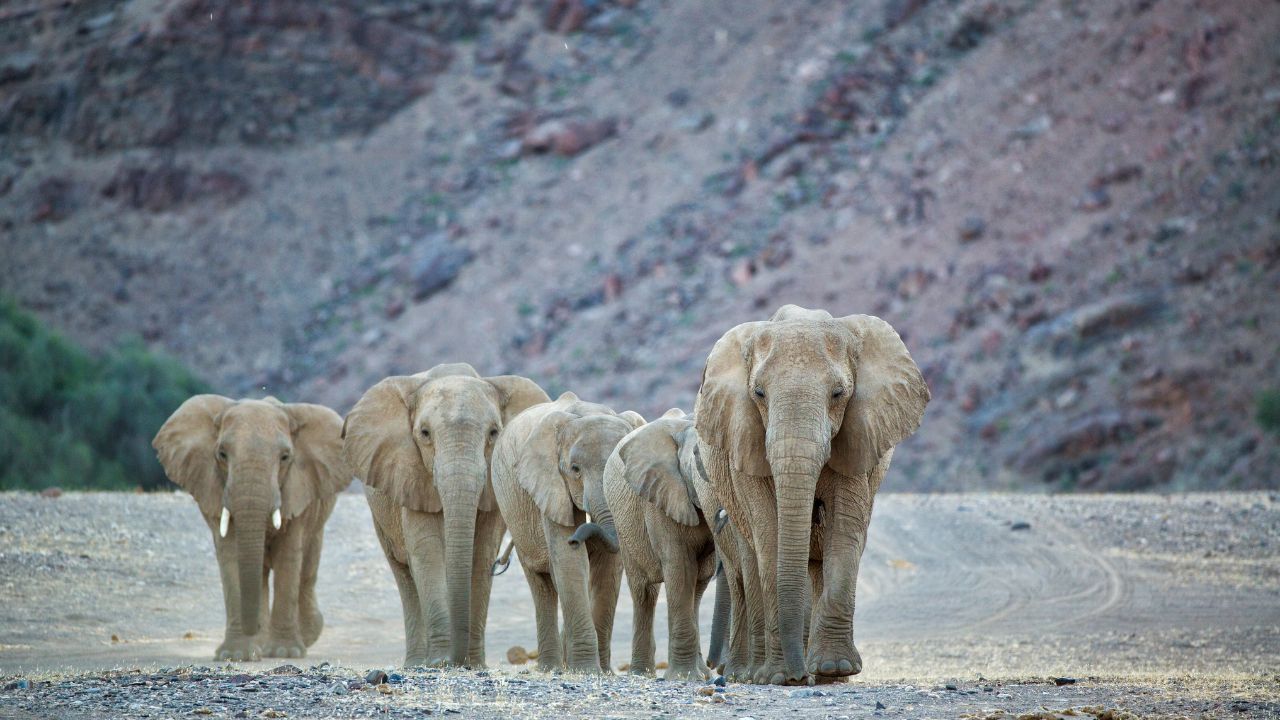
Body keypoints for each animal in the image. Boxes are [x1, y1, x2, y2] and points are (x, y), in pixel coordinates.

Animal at [152, 395, 349, 661]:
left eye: (285, 457)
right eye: (222, 454)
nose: (250, 628)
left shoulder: (298, 489)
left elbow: (288, 558)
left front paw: (284, 652)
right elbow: (233, 557)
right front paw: (236, 655)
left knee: (307, 568)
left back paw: (302, 636)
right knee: (262, 573)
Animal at [342, 363, 549, 668]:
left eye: (494, 433)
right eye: (425, 433)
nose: (457, 660)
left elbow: (481, 553)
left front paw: (473, 664)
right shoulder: (410, 474)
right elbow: (427, 552)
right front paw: (440, 661)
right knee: (403, 573)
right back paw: (417, 663)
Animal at [490, 392, 644, 673]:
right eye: (575, 469)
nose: (576, 539)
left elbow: (608, 568)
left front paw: (603, 672)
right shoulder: (549, 482)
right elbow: (568, 560)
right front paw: (586, 670)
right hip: (513, 513)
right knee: (542, 585)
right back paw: (551, 668)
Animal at [603, 408, 717, 681]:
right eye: (697, 458)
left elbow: (696, 576)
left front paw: (694, 677)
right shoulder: (659, 498)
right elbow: (680, 567)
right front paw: (684, 679)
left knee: (698, 586)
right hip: (624, 525)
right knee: (644, 591)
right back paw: (641, 674)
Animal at [694, 304, 929, 685]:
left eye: (838, 393)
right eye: (758, 394)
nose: (797, 675)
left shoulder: (859, 438)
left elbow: (844, 530)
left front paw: (836, 669)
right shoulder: (743, 442)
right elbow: (769, 531)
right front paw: (779, 677)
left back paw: (826, 675)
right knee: (751, 559)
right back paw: (760, 674)